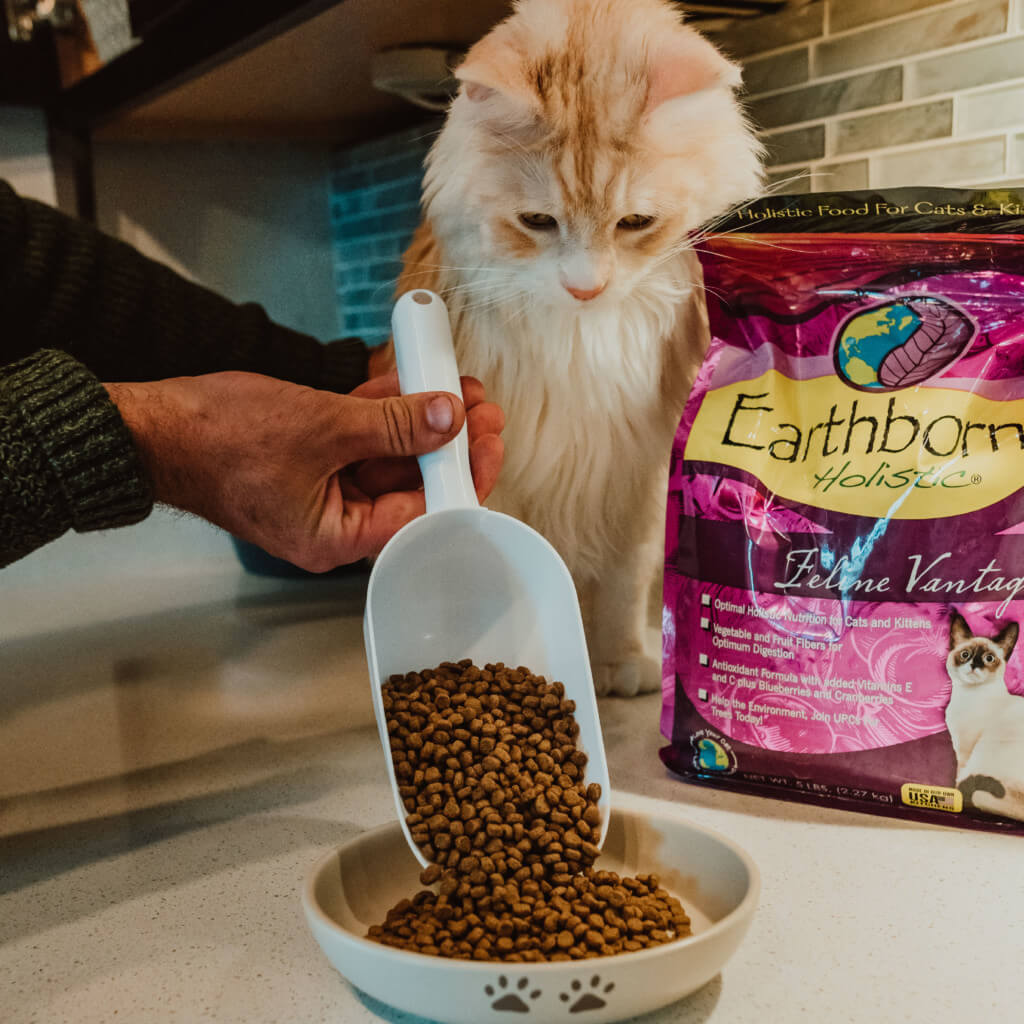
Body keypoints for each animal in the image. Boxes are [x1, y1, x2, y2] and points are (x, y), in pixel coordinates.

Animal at [389, 0, 761, 696]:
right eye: (537, 222)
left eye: (636, 223)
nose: (585, 288)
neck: (584, 340)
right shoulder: (510, 473)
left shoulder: (637, 479)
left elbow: (624, 584)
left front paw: (622, 664)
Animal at [942, 606, 1024, 823]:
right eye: (965, 654)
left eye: (989, 658)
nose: (974, 665)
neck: (968, 697)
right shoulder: (958, 746)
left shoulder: (966, 750)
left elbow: (958, 780)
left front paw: (954, 799)